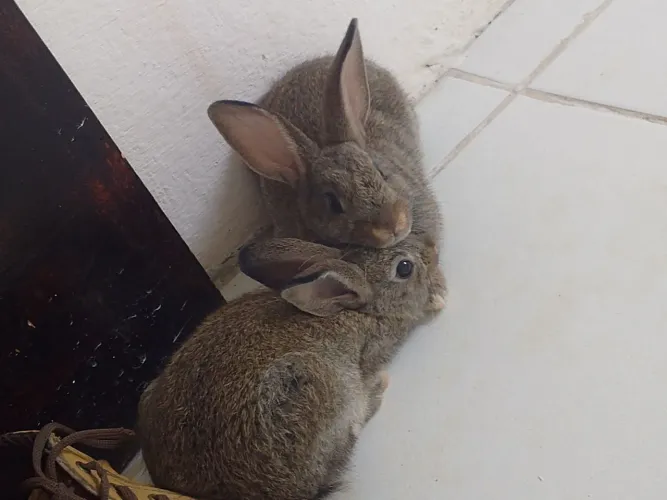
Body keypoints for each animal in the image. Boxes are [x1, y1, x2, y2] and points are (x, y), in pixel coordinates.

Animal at [137, 235, 446, 500]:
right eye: (404, 268)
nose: (431, 248)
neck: (359, 310)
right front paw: (435, 300)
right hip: (311, 390)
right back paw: (376, 394)